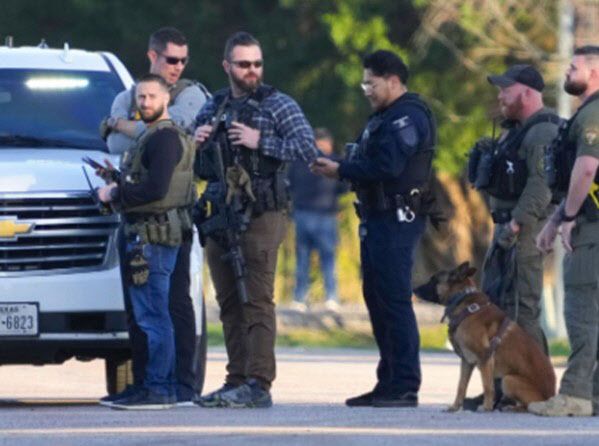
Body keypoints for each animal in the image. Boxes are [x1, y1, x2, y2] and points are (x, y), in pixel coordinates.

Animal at [413, 262, 556, 412]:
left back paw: (512, 407)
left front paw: (487, 407)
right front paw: (455, 407)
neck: (463, 301)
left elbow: (488, 386)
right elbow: (461, 386)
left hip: (508, 380)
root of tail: (550, 395)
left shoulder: (485, 358)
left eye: (434, 279)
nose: (413, 290)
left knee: (528, 405)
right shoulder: (467, 361)